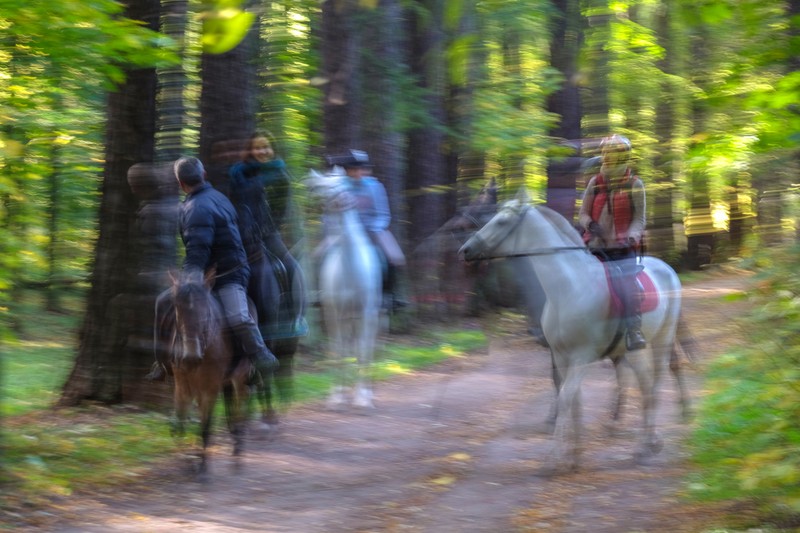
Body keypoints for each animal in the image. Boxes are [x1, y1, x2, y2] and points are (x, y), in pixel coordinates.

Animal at [168, 272, 253, 476]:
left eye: (205, 309)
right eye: (177, 307)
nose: (190, 357)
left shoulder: (211, 388)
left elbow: (206, 426)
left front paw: (202, 467)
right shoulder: (181, 387)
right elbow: (180, 422)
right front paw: (186, 459)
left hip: (240, 376)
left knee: (242, 403)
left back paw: (238, 448)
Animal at [304, 168, 382, 410]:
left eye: (340, 184)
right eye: (323, 185)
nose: (311, 184)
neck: (350, 266)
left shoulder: (366, 314)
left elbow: (363, 351)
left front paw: (363, 397)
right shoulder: (336, 314)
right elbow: (338, 350)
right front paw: (337, 396)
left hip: (365, 317)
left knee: (362, 347)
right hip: (341, 316)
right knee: (344, 347)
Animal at [460, 197, 692, 472]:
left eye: (502, 221)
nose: (465, 250)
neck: (567, 288)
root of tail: (667, 268)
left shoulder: (582, 357)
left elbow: (565, 399)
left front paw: (553, 458)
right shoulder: (562, 356)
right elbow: (573, 401)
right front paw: (575, 456)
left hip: (662, 339)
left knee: (657, 381)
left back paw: (652, 441)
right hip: (633, 350)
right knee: (643, 382)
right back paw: (644, 441)